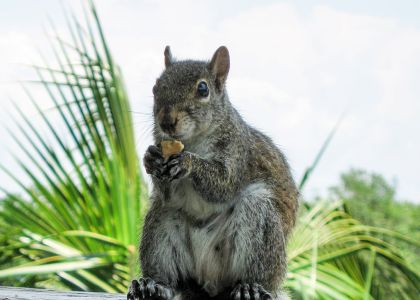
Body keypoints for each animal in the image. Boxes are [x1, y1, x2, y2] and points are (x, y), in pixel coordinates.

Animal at [127, 45, 298, 300]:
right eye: (156, 88)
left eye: (202, 89)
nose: (166, 121)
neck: (193, 141)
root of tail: (209, 286)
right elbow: (168, 192)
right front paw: (151, 158)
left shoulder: (237, 151)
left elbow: (223, 185)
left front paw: (189, 163)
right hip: (161, 224)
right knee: (173, 279)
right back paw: (154, 286)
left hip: (260, 223)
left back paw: (251, 288)